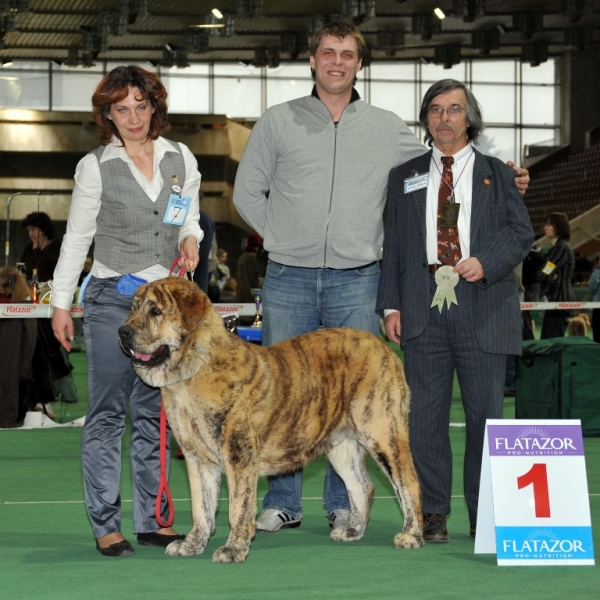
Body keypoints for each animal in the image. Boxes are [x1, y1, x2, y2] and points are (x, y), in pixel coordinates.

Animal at [119, 276, 424, 564]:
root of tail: (385, 348)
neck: (191, 371)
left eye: (155, 311)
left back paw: (412, 535)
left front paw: (233, 549)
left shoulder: (239, 454)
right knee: (362, 485)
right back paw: (352, 530)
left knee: (408, 482)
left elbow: (238, 507)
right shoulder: (198, 459)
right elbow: (201, 508)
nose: (123, 331)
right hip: (342, 446)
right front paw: (192, 545)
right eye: (132, 309)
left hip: (383, 432)